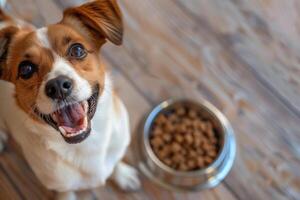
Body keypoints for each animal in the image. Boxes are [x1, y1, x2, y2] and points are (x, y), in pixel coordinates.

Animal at [0, 0, 141, 199]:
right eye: (26, 69)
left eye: (78, 49)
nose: (58, 86)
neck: (86, 145)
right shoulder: (60, 185)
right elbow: (66, 192)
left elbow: (115, 163)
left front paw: (122, 174)